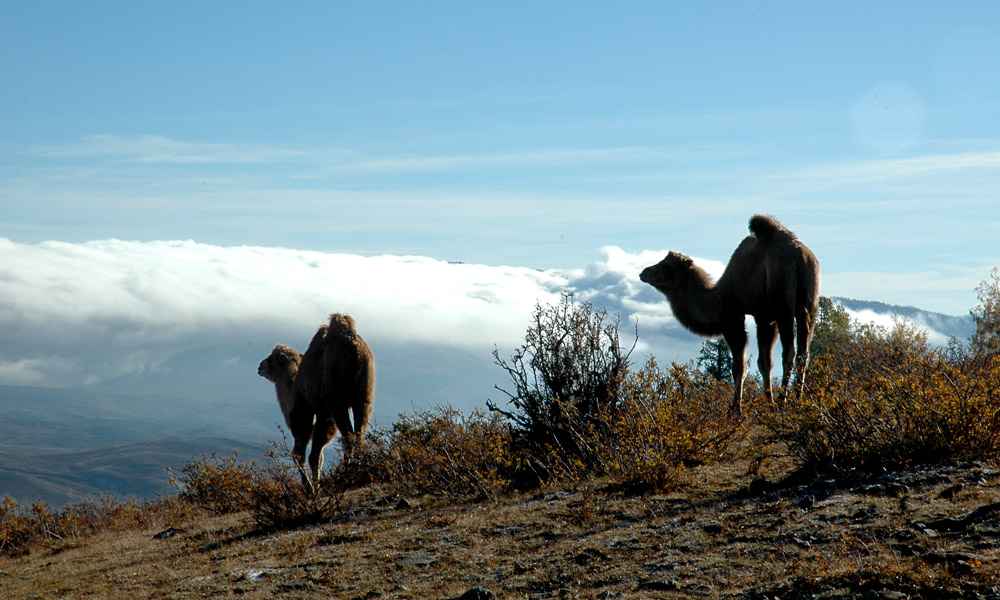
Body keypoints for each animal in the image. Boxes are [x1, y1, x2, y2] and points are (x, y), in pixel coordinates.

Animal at [258, 314, 376, 482]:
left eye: (273, 358)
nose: (260, 366)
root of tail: (356, 350)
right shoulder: (324, 414)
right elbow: (317, 455)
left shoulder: (306, 411)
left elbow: (301, 453)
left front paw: (309, 485)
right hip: (364, 396)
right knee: (359, 434)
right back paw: (357, 468)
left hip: (336, 399)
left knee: (348, 436)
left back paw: (345, 472)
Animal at [640, 213, 820, 414]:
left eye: (667, 266)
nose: (644, 272)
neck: (720, 298)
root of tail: (800, 256)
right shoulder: (765, 318)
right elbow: (764, 363)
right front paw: (767, 402)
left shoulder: (733, 318)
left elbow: (739, 366)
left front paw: (736, 408)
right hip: (809, 304)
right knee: (804, 352)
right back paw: (798, 399)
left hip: (784, 307)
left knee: (790, 352)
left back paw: (783, 401)